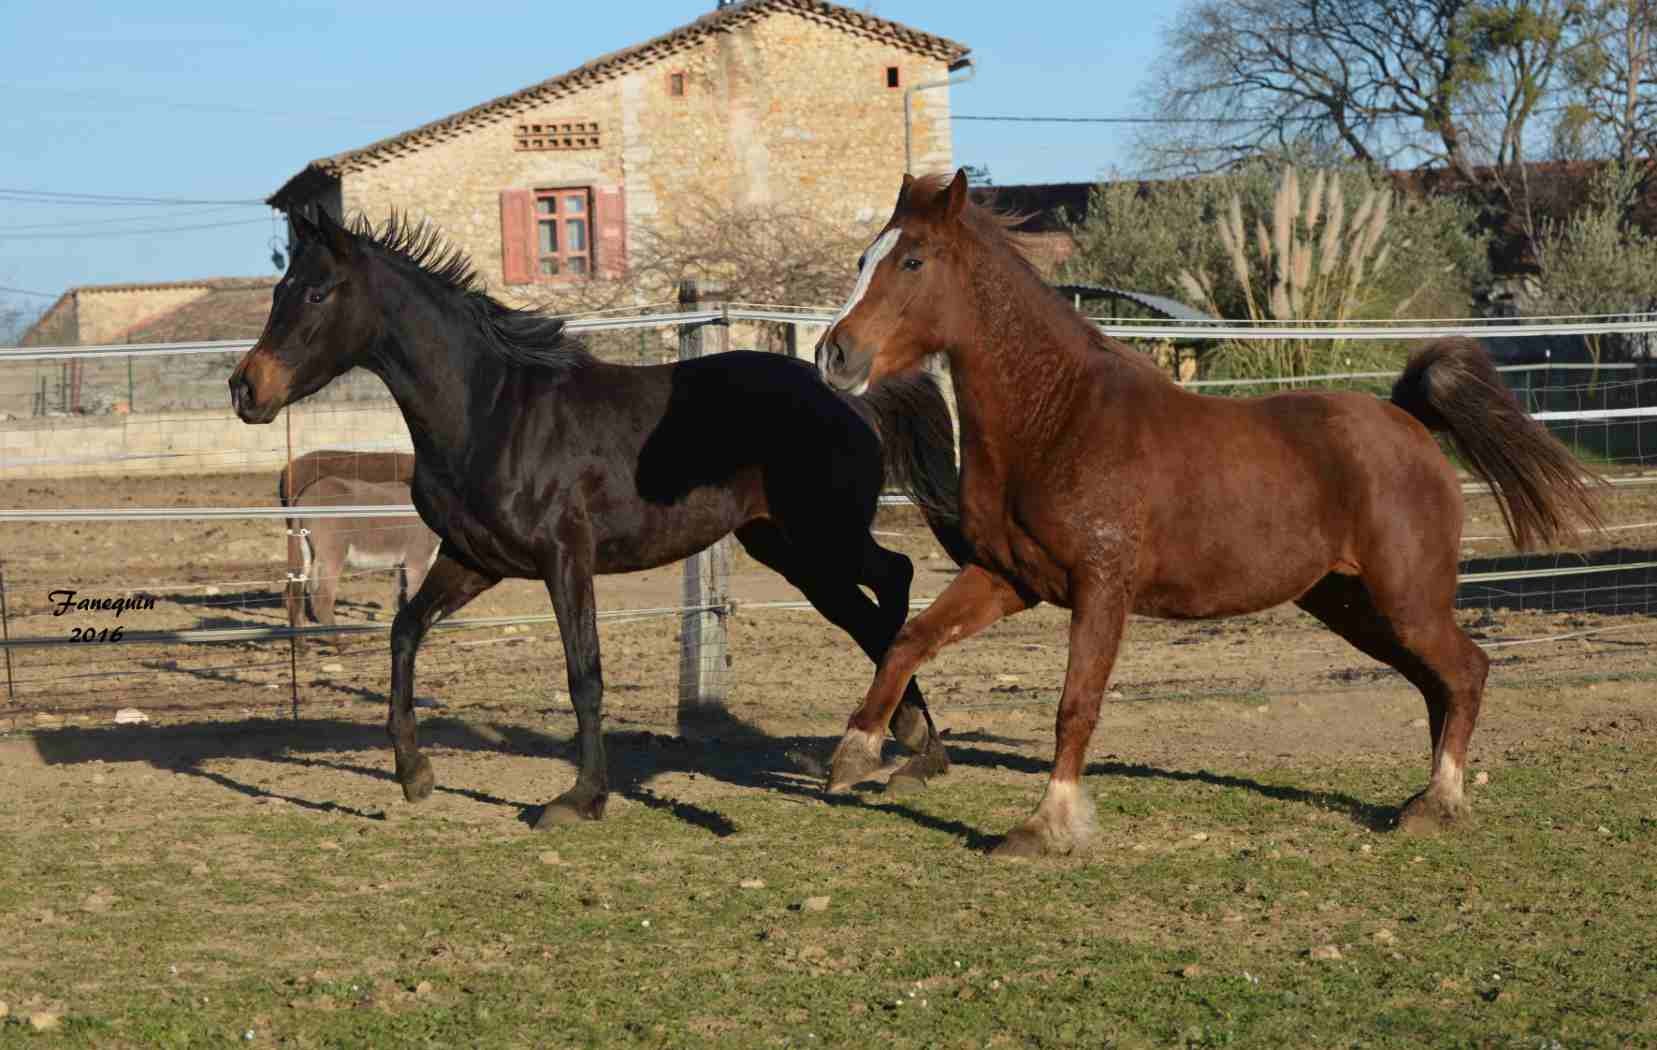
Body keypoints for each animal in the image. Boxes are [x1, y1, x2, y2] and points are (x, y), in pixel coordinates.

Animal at [227, 206, 967, 824]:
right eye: (279, 290)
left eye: (317, 293)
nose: (245, 388)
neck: (491, 410)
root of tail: (849, 392)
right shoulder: (474, 560)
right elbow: (404, 633)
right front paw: (415, 775)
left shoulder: (565, 559)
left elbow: (584, 674)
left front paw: (580, 799)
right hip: (787, 548)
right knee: (862, 612)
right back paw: (910, 741)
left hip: (825, 532)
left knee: (895, 578)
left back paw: (913, 745)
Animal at [815, 169, 1603, 847]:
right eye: (863, 256)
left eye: (913, 261)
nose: (835, 355)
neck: (1058, 419)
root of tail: (1408, 420)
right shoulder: (1008, 579)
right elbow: (909, 639)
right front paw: (854, 754)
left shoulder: (1101, 589)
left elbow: (1075, 705)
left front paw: (1047, 826)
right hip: (1350, 605)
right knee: (1438, 683)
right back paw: (1423, 800)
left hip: (1405, 599)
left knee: (1467, 672)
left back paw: (1439, 802)